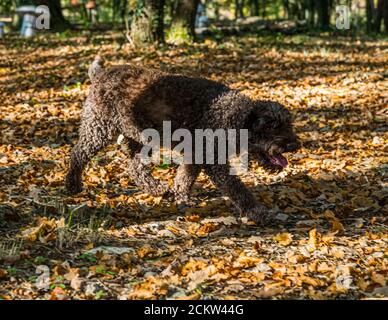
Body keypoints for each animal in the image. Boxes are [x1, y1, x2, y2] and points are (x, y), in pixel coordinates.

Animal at [66, 58, 300, 226]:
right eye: (270, 126)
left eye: (288, 124)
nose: (294, 145)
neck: (232, 116)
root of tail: (100, 74)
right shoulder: (213, 161)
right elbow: (238, 189)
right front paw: (257, 212)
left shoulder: (197, 154)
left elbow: (184, 177)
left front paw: (181, 196)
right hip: (98, 129)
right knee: (78, 154)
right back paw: (72, 185)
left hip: (138, 136)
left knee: (135, 168)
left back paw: (158, 189)